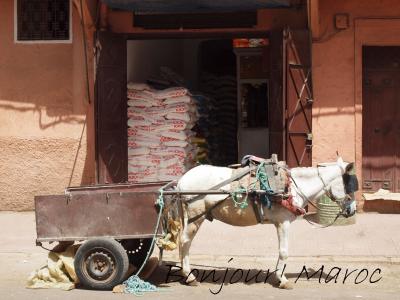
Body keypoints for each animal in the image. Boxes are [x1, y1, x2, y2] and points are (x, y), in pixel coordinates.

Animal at [176, 157, 356, 288]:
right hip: (196, 216)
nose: (352, 210)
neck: (291, 187)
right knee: (185, 241)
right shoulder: (283, 223)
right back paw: (190, 276)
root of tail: (182, 181)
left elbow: (281, 251)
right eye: (350, 186)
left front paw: (278, 277)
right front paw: (282, 280)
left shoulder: (278, 223)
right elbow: (284, 252)